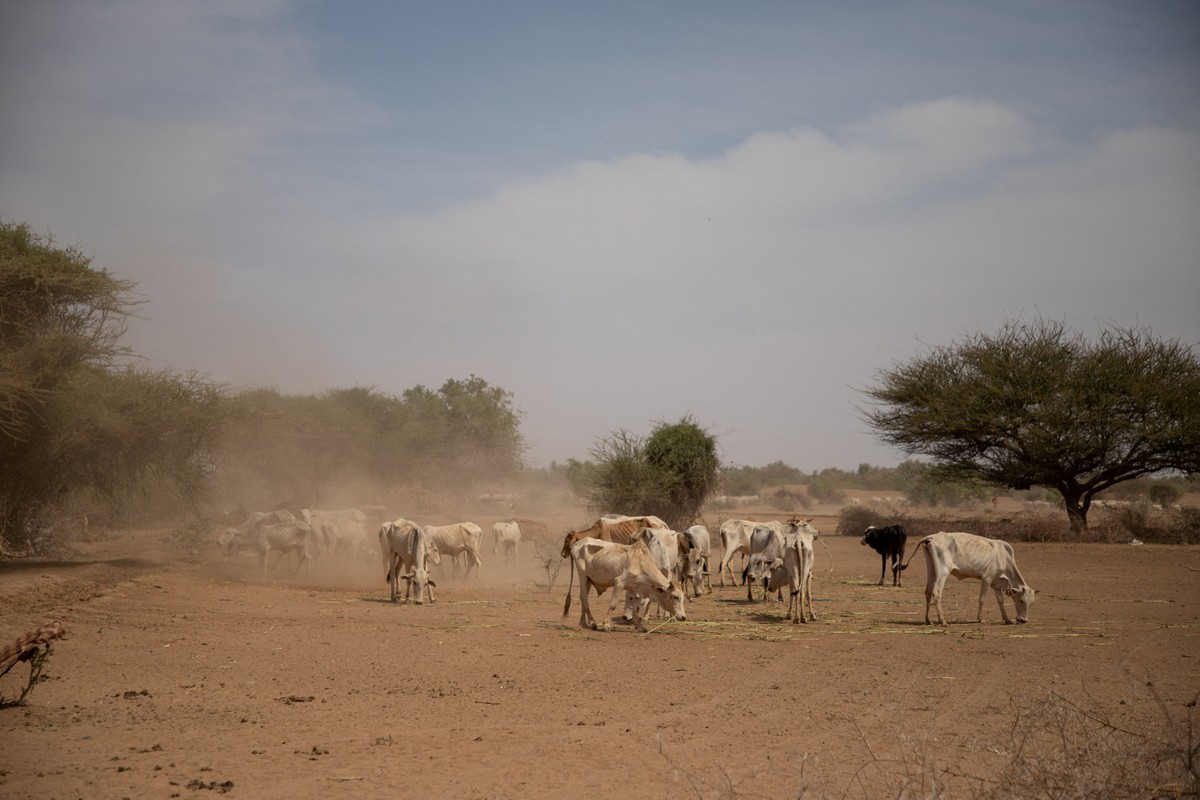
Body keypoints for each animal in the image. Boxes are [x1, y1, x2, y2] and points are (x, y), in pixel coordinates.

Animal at [897, 532, 1036, 623]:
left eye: (1031, 603)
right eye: (1021, 600)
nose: (1024, 620)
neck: (1004, 557)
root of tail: (931, 537)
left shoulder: (996, 585)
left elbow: (1000, 601)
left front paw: (1007, 619)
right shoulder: (987, 578)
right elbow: (982, 599)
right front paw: (980, 619)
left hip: (931, 569)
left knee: (928, 591)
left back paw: (928, 620)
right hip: (942, 571)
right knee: (936, 592)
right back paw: (943, 621)